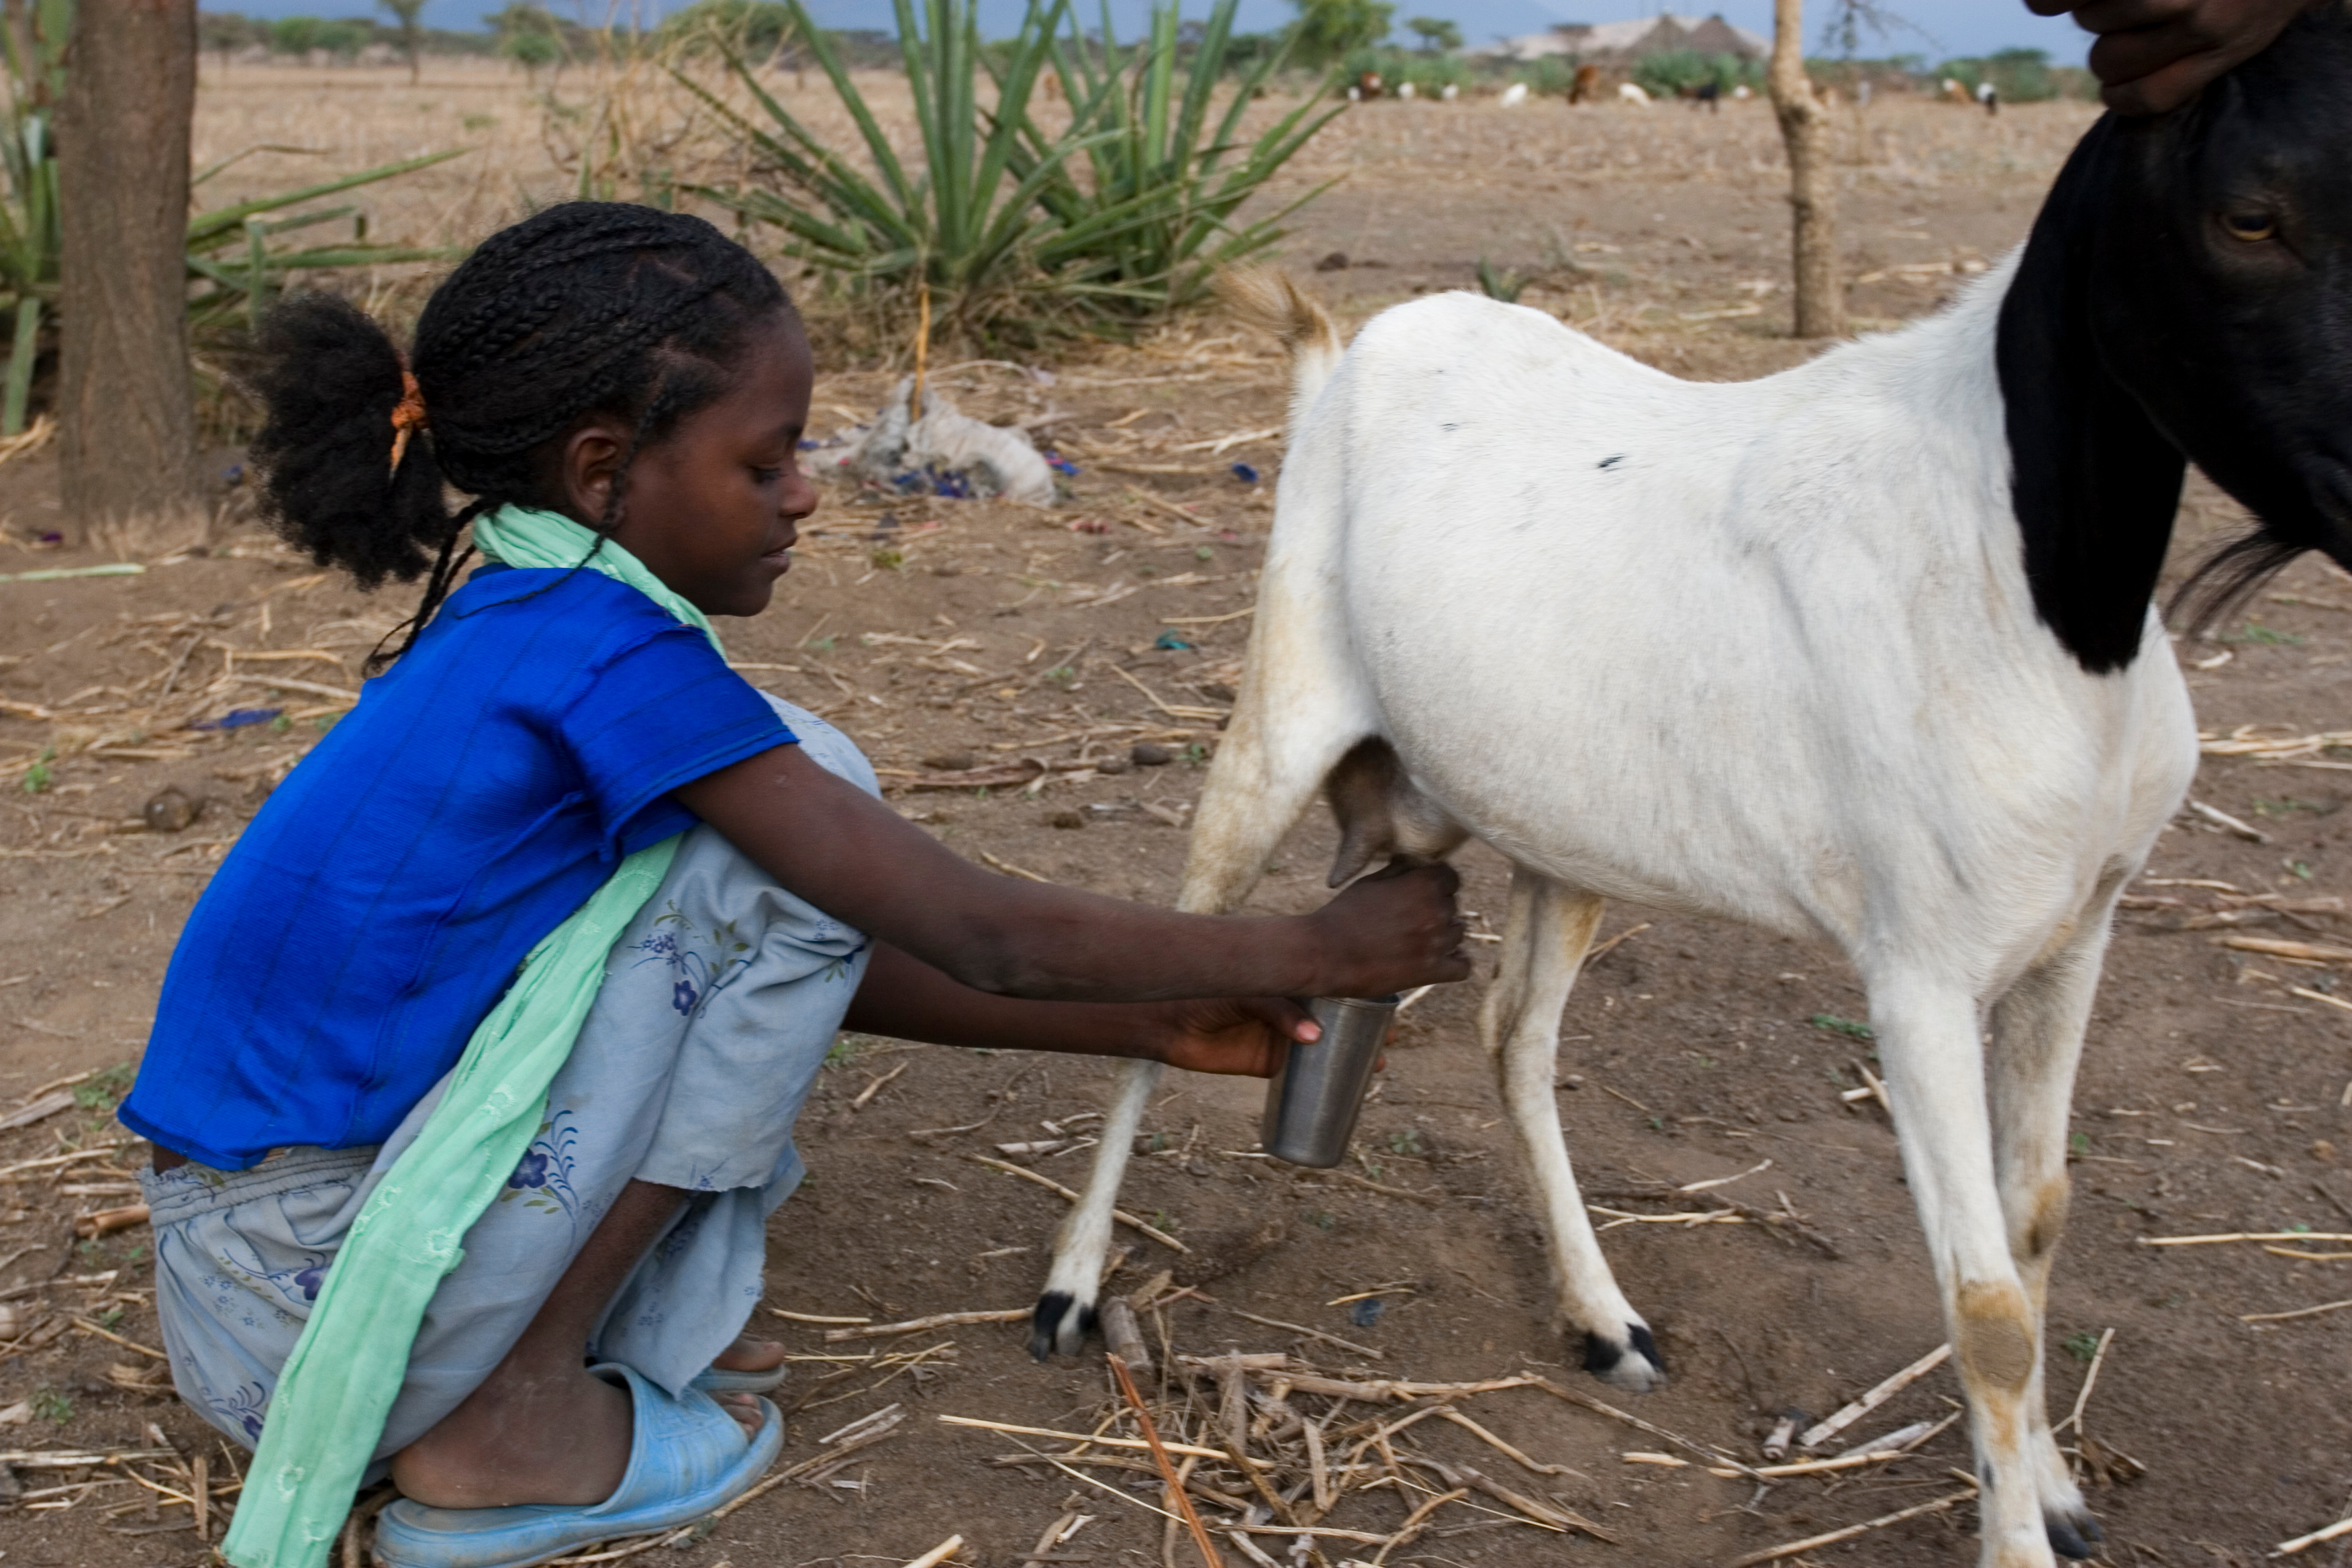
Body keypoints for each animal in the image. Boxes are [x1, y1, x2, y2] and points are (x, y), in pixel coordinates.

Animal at [1030, 10, 2352, 1566]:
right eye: (2246, 215)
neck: (2023, 572)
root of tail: (1346, 353)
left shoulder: (2080, 926)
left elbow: (2038, 1220)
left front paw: (2053, 1489)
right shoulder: (1917, 973)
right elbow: (1985, 1310)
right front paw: (2016, 1524)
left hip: (1557, 837)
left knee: (1512, 1037)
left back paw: (1602, 1317)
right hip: (1276, 723)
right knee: (1185, 970)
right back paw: (1068, 1287)